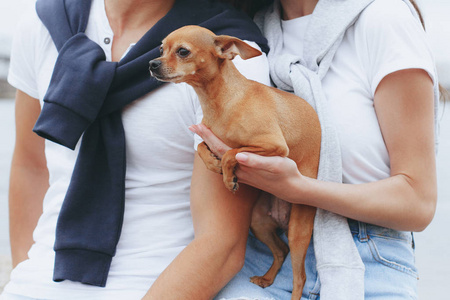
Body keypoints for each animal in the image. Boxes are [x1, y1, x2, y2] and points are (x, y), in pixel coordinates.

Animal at [149, 26, 322, 300]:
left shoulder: (274, 146)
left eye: (183, 51)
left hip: (298, 229)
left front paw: (228, 177)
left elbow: (233, 152)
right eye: (161, 49)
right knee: (280, 250)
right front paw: (213, 165)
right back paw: (266, 278)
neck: (219, 101)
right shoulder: (208, 137)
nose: (152, 64)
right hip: (259, 223)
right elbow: (202, 147)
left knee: (300, 277)